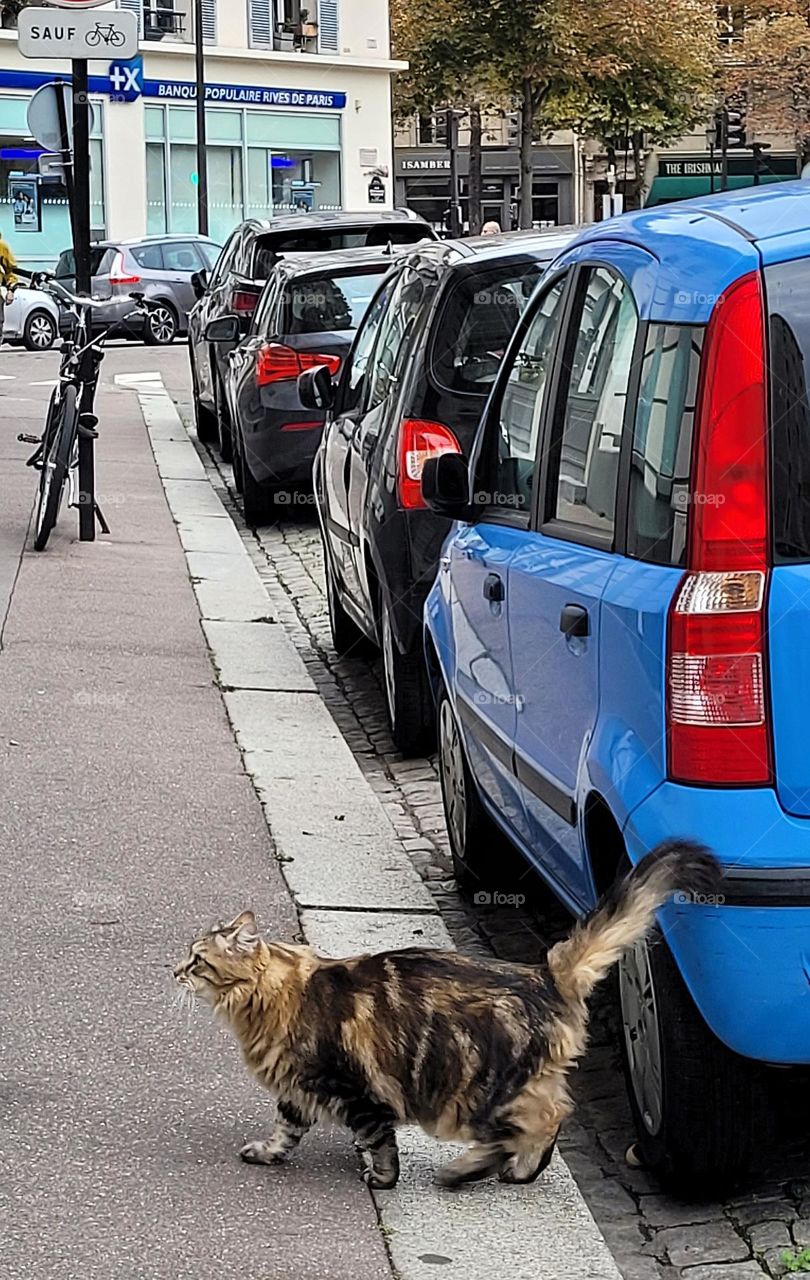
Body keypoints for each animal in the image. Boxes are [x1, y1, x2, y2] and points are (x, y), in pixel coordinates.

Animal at [175, 839, 711, 1187]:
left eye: (198, 959)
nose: (175, 969)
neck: (273, 998)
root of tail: (546, 974)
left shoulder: (350, 1087)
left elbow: (379, 1140)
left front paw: (380, 1179)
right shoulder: (298, 1088)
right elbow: (286, 1128)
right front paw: (267, 1153)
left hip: (474, 1093)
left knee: (543, 1119)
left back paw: (470, 1171)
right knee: (551, 1116)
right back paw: (515, 1171)